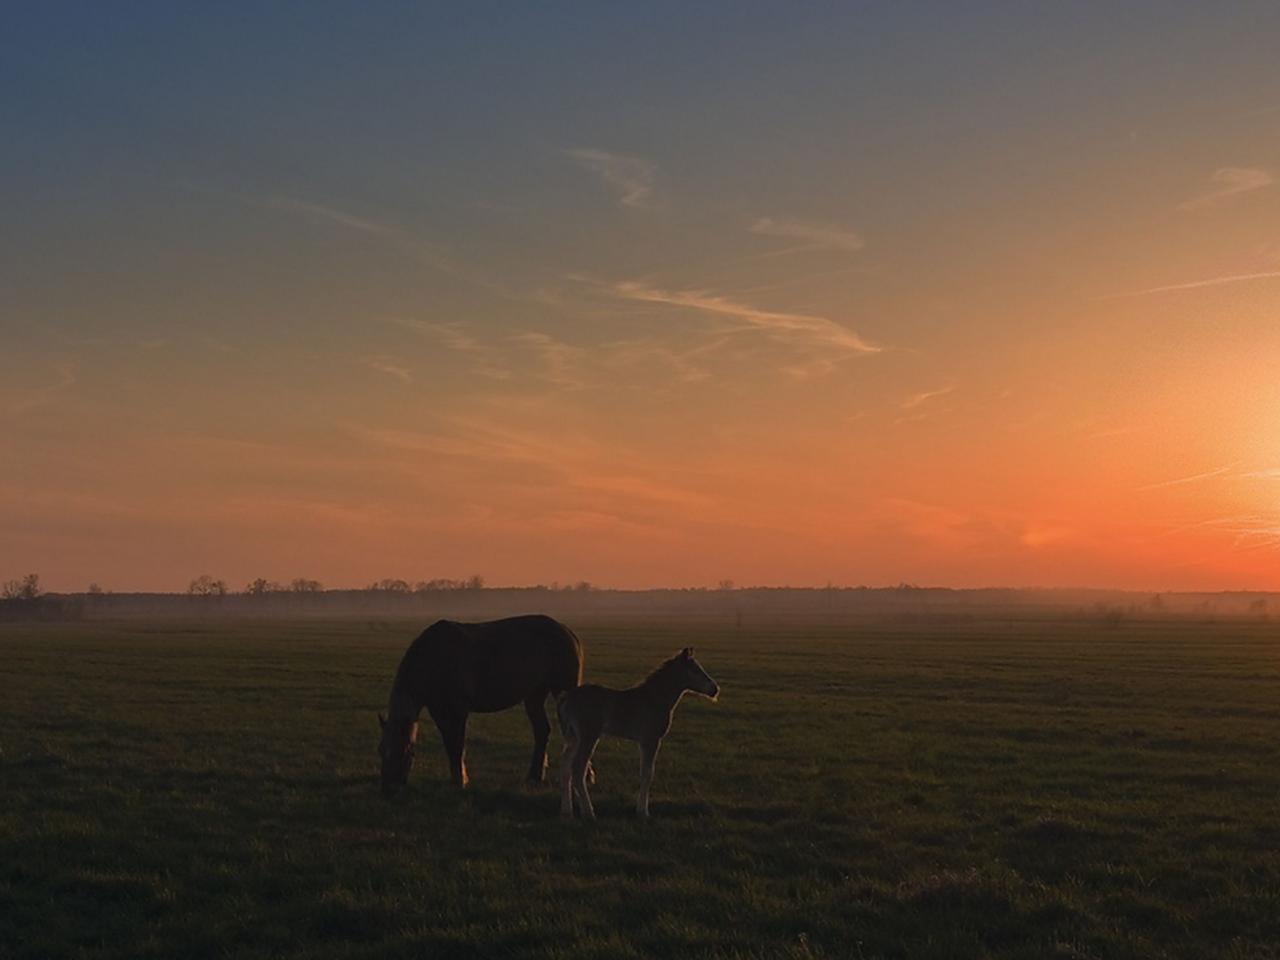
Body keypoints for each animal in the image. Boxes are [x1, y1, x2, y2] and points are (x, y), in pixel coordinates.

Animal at [376, 616, 583, 798]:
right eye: (381, 750)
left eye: (403, 751)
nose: (387, 790)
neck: (435, 660)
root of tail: (567, 632)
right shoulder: (439, 712)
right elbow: (449, 744)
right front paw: (457, 779)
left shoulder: (458, 711)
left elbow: (457, 745)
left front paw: (460, 781)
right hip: (534, 696)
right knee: (542, 731)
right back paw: (534, 777)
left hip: (561, 693)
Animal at [560, 647, 721, 819]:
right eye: (695, 670)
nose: (715, 689)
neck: (655, 699)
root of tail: (567, 697)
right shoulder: (651, 740)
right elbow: (647, 774)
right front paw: (643, 812)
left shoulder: (644, 742)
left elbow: (644, 772)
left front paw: (640, 809)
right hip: (588, 736)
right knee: (578, 769)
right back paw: (589, 812)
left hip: (574, 738)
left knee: (566, 767)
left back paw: (567, 811)